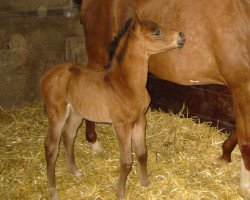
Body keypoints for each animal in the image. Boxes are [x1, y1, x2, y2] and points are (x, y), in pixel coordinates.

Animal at [40, 16, 186, 199]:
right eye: (156, 32)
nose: (181, 36)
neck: (127, 84)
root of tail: (47, 75)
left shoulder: (140, 121)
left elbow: (142, 154)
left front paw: (145, 183)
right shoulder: (122, 126)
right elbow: (126, 162)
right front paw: (120, 193)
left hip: (76, 113)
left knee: (69, 136)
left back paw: (75, 171)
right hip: (57, 114)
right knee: (51, 147)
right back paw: (52, 190)